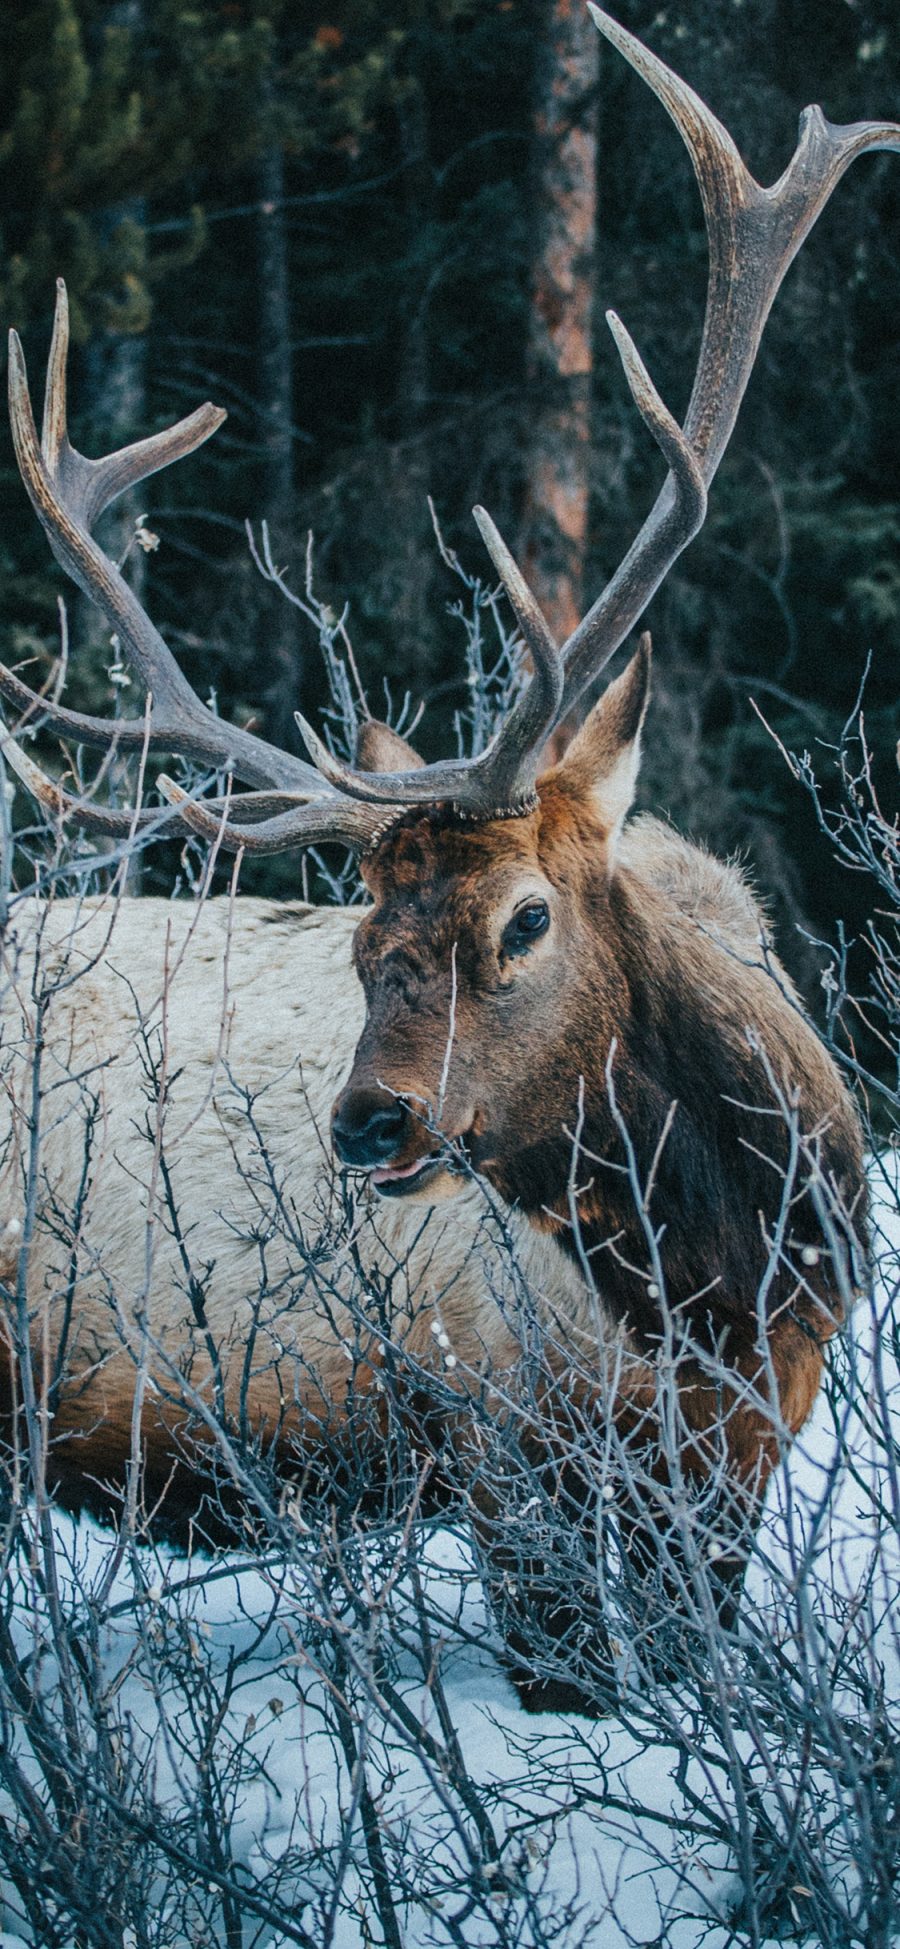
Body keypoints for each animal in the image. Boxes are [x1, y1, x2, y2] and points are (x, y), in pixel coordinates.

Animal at [0, 15, 888, 1715]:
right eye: (358, 940)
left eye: (527, 918)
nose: (369, 1120)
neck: (730, 1277)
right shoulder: (505, 1450)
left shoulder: (743, 1460)